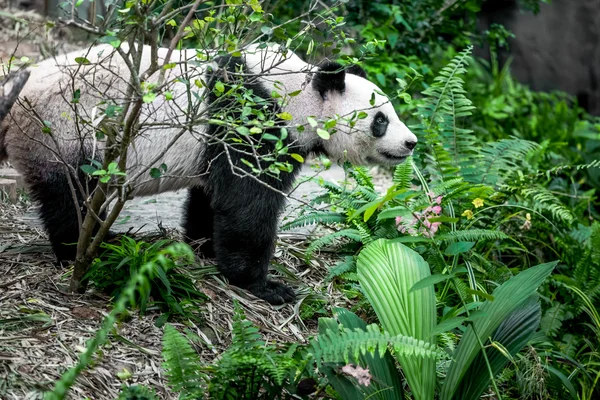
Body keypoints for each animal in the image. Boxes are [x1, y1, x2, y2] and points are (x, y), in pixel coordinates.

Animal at [0, 43, 418, 304]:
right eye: (381, 119)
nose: (411, 143)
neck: (293, 94)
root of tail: (18, 91)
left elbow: (212, 196)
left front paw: (203, 247)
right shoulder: (252, 120)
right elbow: (248, 203)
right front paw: (265, 286)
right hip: (64, 130)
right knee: (71, 196)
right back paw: (86, 251)